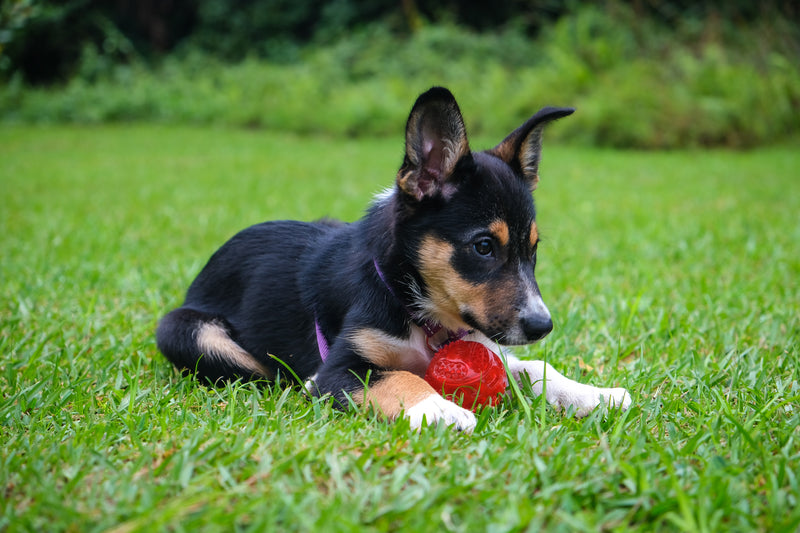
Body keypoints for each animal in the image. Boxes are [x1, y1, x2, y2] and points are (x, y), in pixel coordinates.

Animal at [156, 86, 632, 428]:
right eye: (483, 247)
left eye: (532, 250)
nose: (541, 326)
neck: (414, 306)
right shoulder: (338, 370)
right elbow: (395, 376)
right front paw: (438, 409)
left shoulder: (485, 342)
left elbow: (532, 367)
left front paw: (593, 394)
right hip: (187, 331)